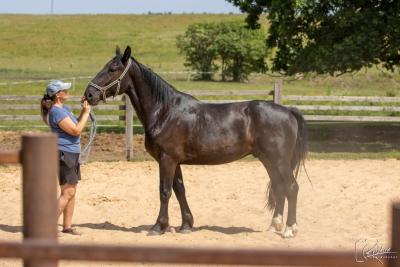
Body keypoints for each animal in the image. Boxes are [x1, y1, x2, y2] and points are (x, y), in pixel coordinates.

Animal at [84, 45, 308, 239]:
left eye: (112, 69)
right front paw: (186, 225)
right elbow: (179, 190)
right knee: (279, 187)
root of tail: (288, 111)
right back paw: (274, 226)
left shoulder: (167, 159)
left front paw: (158, 227)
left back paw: (289, 230)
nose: (88, 94)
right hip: (267, 159)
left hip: (279, 160)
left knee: (292, 187)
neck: (165, 111)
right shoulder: (174, 161)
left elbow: (164, 192)